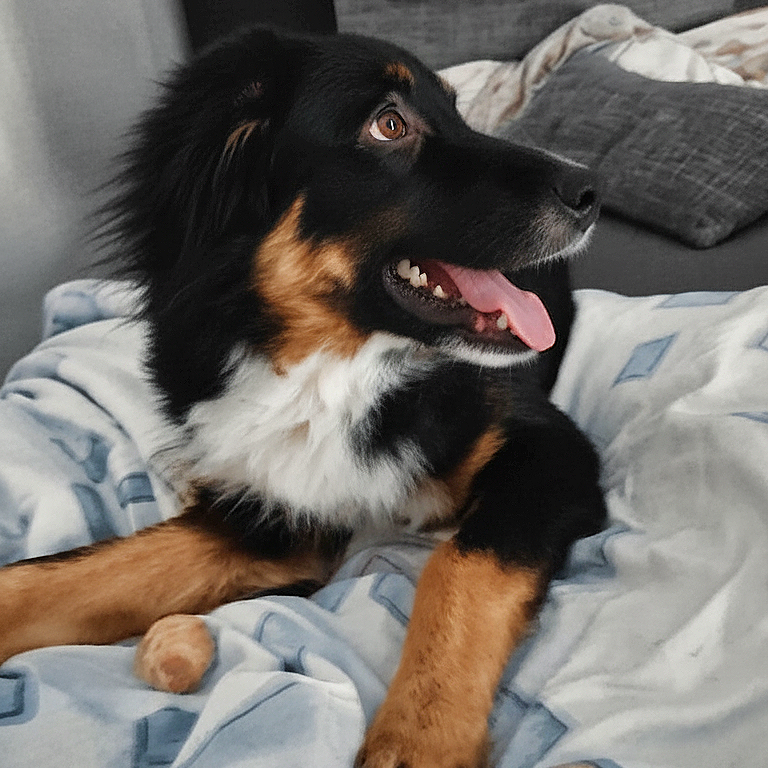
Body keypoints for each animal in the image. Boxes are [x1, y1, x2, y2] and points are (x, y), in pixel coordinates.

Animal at [0, 27, 606, 768]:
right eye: (388, 124)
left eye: (458, 110)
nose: (592, 190)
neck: (331, 369)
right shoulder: (271, 511)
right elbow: (64, 576)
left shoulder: (551, 451)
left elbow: (463, 563)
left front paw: (420, 736)